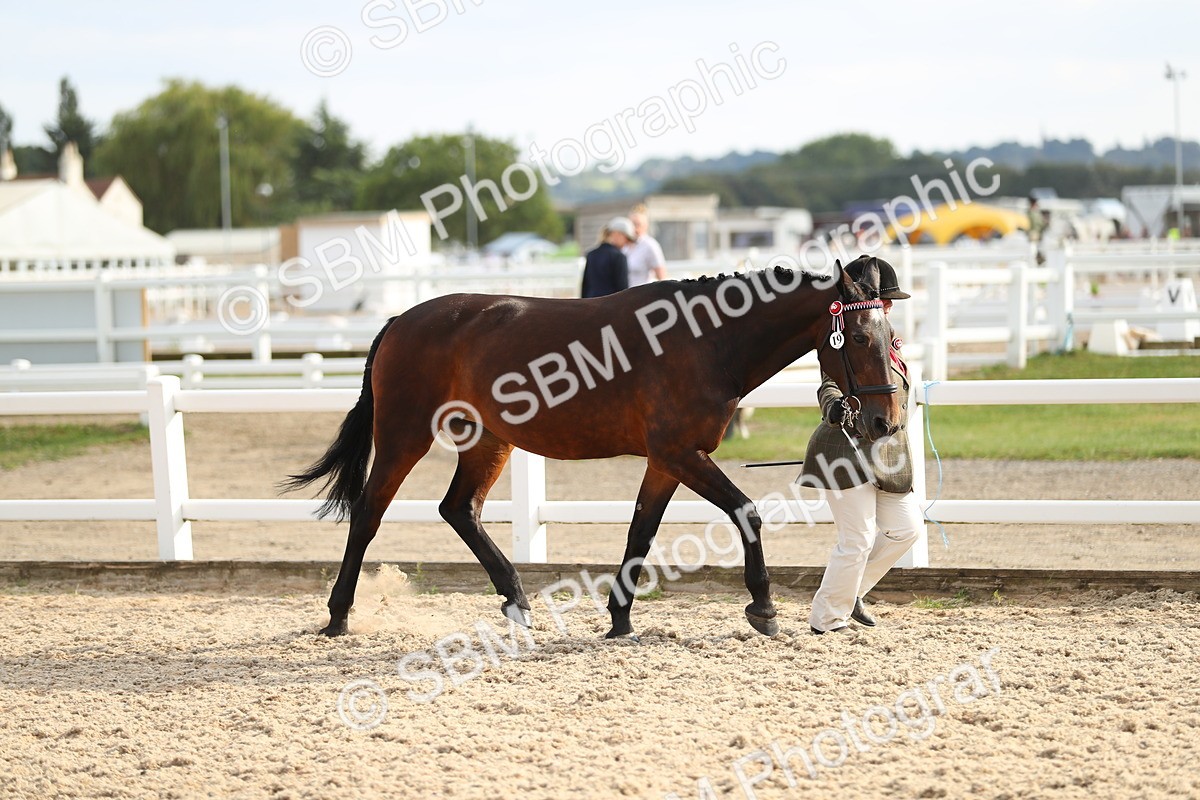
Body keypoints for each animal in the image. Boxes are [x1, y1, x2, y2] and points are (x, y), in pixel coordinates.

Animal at [283, 255, 903, 639]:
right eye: (860, 338)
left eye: (892, 337)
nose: (884, 420)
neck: (705, 341)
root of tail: (400, 320)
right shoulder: (681, 454)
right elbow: (746, 512)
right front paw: (764, 608)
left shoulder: (666, 461)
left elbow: (639, 532)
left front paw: (620, 619)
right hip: (404, 435)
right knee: (369, 513)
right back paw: (338, 617)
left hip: (488, 442)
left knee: (460, 509)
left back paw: (517, 602)